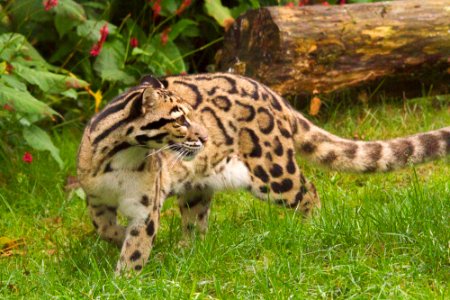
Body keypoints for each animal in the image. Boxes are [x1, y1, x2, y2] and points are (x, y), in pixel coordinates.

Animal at [77, 72, 450, 274]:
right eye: (179, 118)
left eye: (188, 114)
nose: (204, 137)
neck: (122, 159)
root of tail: (273, 94)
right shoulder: (95, 196)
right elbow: (103, 227)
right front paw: (117, 239)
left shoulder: (146, 205)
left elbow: (137, 247)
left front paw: (124, 279)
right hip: (200, 187)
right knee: (197, 221)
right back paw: (186, 250)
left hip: (273, 171)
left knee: (309, 190)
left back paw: (313, 230)